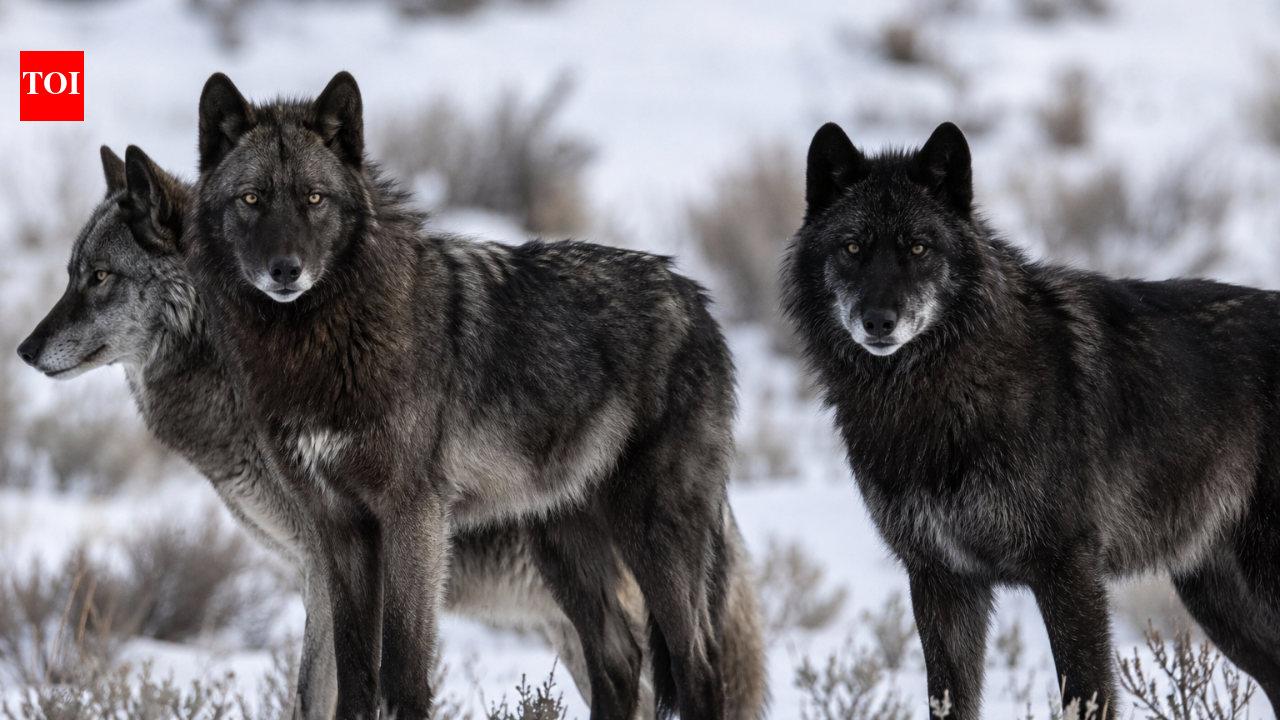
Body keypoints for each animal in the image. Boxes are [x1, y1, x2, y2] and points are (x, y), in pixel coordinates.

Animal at [186, 70, 742, 720]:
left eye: (314, 199)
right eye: (251, 199)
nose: (285, 269)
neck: (320, 341)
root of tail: (696, 299)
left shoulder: (415, 516)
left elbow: (403, 670)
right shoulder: (339, 528)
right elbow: (355, 674)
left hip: (651, 534)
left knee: (699, 665)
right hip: (564, 550)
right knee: (619, 659)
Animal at [782, 121, 1280, 718]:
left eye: (918, 248)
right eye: (852, 247)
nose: (879, 321)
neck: (938, 393)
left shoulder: (1067, 569)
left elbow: (1086, 695)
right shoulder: (941, 577)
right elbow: (948, 701)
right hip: (1218, 597)